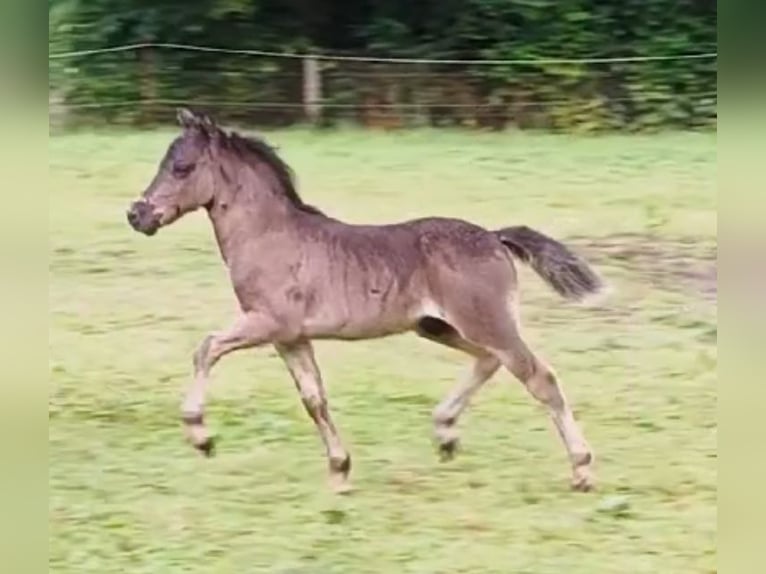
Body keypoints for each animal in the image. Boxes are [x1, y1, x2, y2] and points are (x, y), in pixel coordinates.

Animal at [127, 111, 608, 496]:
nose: (137, 215)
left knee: (539, 377)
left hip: (485, 321)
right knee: (489, 361)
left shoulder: (267, 323)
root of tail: (494, 236)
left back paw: (582, 471)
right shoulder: (292, 338)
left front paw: (201, 436)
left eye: (182, 167)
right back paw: (445, 433)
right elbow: (314, 399)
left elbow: (206, 347)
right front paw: (340, 472)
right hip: (439, 326)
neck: (269, 236)